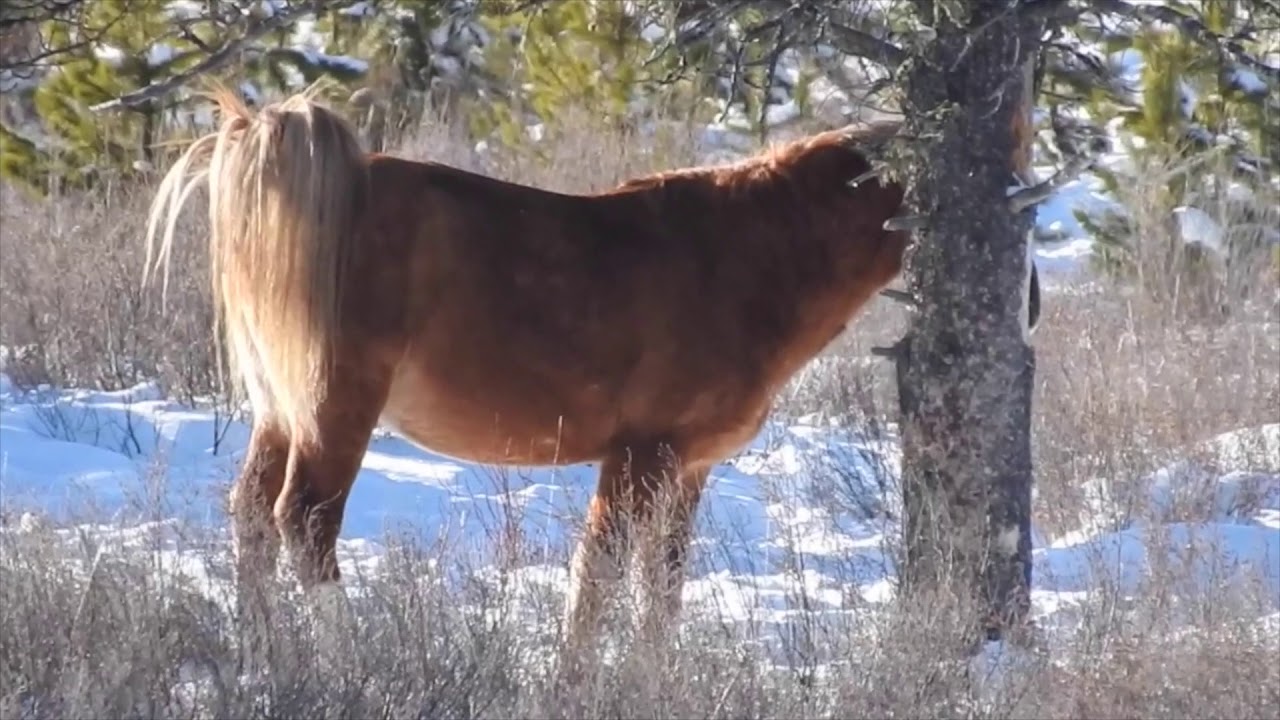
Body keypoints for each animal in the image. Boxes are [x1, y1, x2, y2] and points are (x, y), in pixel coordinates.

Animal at [143, 84, 1042, 662]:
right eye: (1005, 194)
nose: (1028, 304)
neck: (746, 259)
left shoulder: (686, 467)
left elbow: (659, 589)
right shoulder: (640, 454)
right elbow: (601, 577)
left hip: (279, 411)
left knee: (253, 519)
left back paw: (266, 659)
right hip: (337, 410)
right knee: (304, 523)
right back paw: (344, 663)